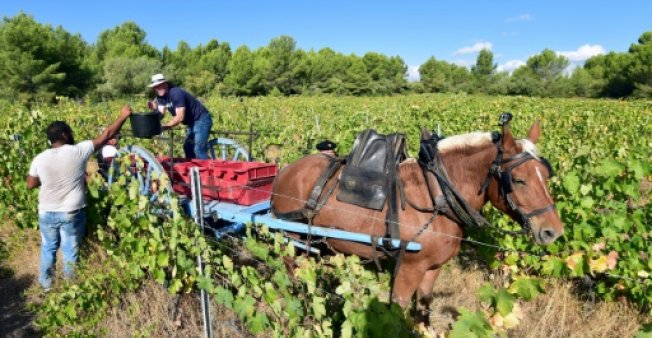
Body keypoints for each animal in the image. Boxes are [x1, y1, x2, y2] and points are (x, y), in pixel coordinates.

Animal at [268, 119, 564, 320]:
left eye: (545, 175)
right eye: (518, 180)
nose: (553, 232)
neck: (437, 195)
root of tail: (285, 171)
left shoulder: (432, 268)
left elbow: (423, 308)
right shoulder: (410, 267)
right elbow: (397, 309)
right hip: (289, 241)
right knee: (291, 275)